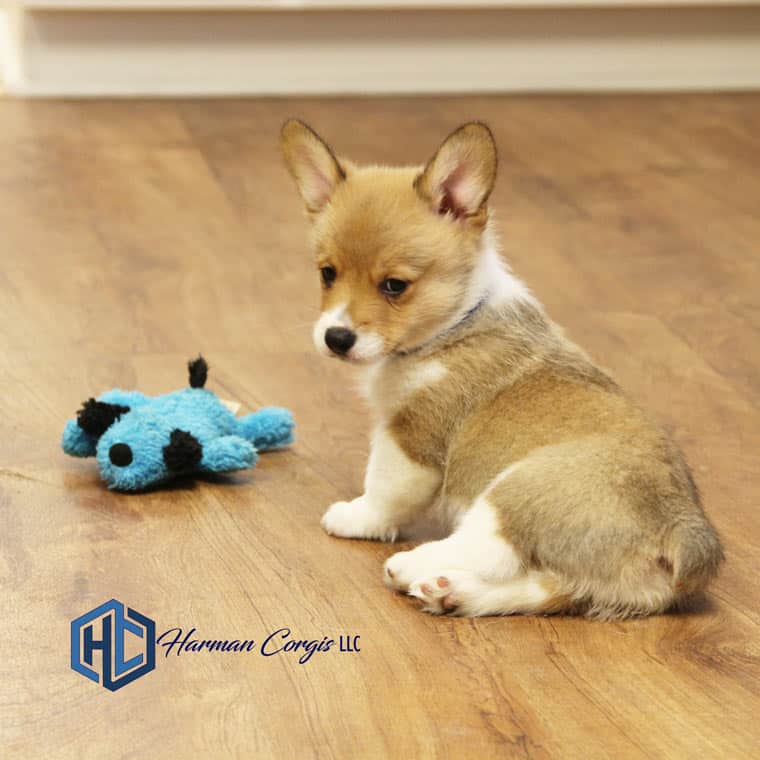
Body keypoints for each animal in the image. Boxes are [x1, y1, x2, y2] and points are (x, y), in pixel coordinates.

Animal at [282, 119, 720, 616]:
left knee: (488, 546)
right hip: (586, 582)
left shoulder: (411, 440)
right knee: (539, 586)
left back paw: (414, 564)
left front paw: (357, 517)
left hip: (517, 491)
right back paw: (449, 590)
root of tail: (684, 532)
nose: (336, 339)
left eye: (395, 286)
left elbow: (384, 489)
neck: (456, 322)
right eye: (327, 274)